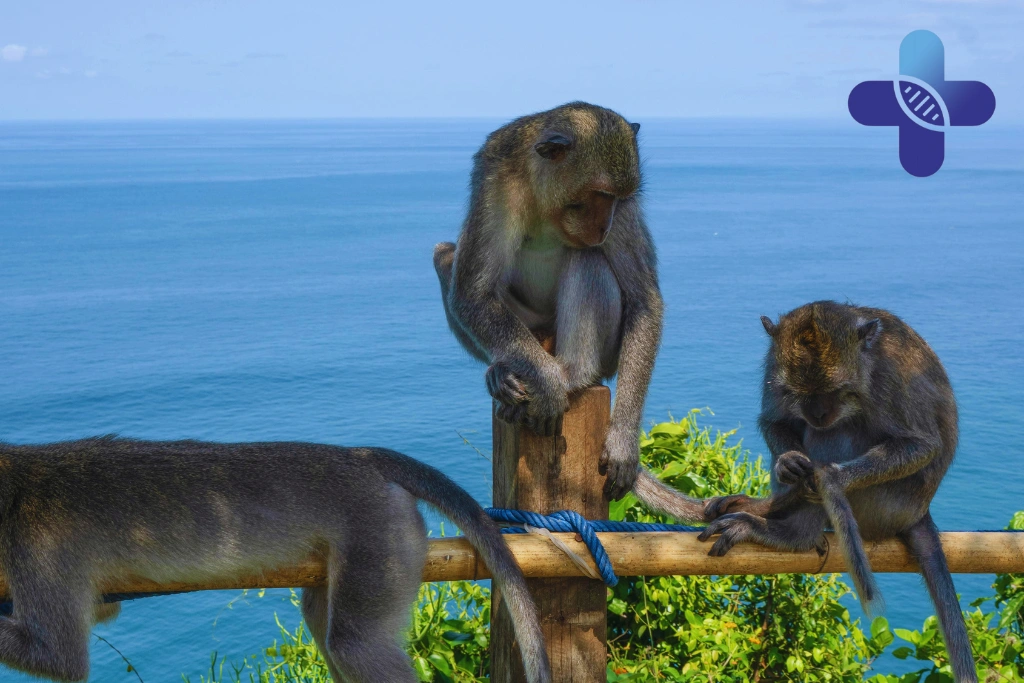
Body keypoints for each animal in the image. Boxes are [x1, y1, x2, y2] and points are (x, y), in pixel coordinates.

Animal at [0, 438, 551, 683]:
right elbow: (101, 610)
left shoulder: (35, 544)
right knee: (329, 624)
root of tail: (361, 456)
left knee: (354, 645)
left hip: (380, 530)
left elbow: (60, 657)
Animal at [433, 101, 663, 500]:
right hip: (531, 327)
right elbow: (472, 293)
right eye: (602, 195)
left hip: (607, 352)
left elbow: (644, 299)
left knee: (588, 257)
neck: (546, 201)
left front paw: (623, 440)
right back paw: (507, 372)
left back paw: (573, 372)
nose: (605, 226)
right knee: (445, 254)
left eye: (619, 198)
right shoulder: (496, 182)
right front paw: (547, 385)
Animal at [692, 301, 977, 683]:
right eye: (799, 392)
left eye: (837, 391)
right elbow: (775, 421)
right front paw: (788, 464)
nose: (818, 413)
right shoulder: (773, 368)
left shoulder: (888, 381)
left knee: (839, 432)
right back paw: (772, 506)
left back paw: (790, 532)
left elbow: (922, 446)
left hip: (885, 506)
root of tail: (920, 512)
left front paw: (831, 479)